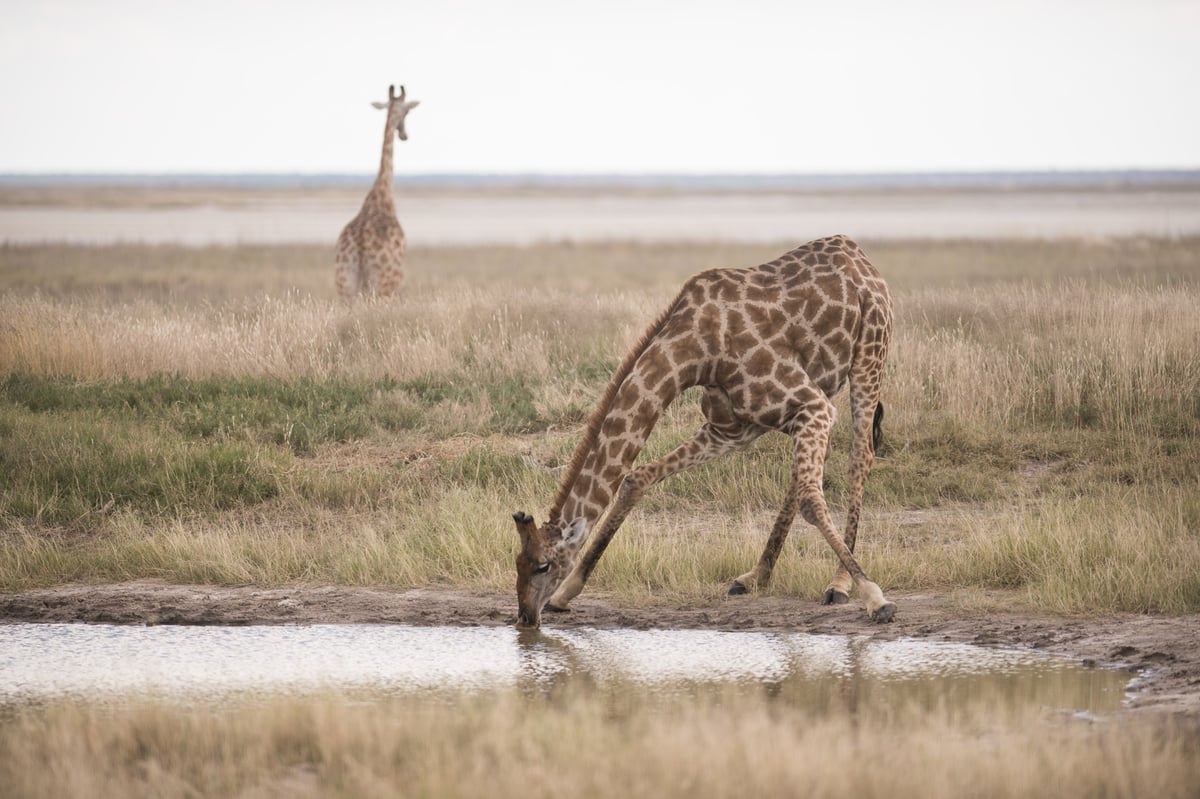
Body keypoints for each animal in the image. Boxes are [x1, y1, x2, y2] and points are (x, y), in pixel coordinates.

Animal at [333, 83, 422, 299]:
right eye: (407, 111)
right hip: (384, 286)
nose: (404, 135)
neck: (382, 196)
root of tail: (359, 251)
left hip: (345, 286)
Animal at [511, 233, 897, 623]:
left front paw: (874, 596)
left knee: (859, 456)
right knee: (803, 475)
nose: (525, 616)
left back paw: (838, 584)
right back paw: (755, 575)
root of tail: (858, 254)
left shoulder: (811, 404)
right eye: (517, 562)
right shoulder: (732, 429)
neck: (695, 350)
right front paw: (567, 592)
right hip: (815, 392)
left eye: (543, 565)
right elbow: (637, 477)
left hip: (869, 355)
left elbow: (813, 503)